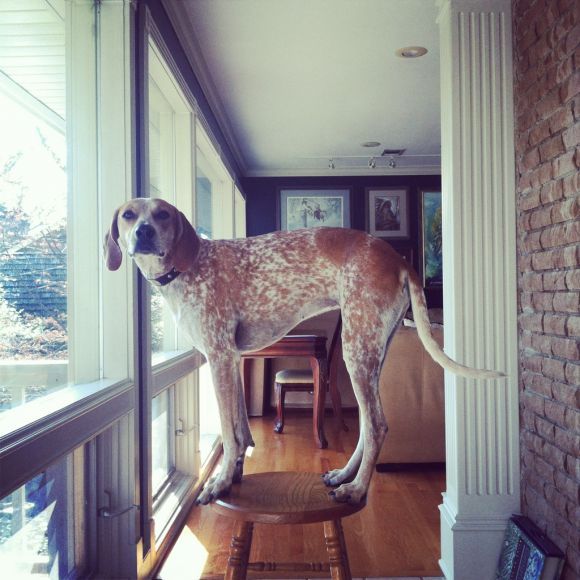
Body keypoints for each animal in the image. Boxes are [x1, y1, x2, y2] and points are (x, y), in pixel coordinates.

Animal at [104, 198, 502, 502]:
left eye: (162, 214)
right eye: (129, 214)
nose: (143, 232)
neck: (187, 267)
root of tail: (399, 258)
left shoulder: (218, 358)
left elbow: (230, 434)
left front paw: (219, 482)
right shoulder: (232, 361)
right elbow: (241, 428)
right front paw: (235, 472)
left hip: (356, 353)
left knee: (377, 426)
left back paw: (356, 490)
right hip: (370, 353)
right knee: (367, 426)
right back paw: (343, 475)